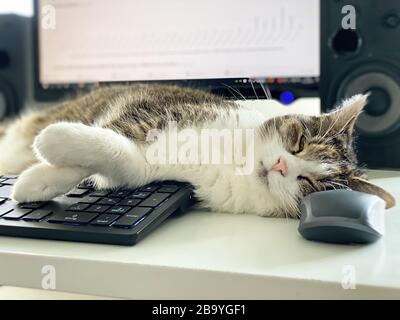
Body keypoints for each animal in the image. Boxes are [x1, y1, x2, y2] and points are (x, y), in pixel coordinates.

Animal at [0, 84, 396, 218]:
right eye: (299, 142)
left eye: (313, 185)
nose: (283, 166)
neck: (233, 162)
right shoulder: (146, 107)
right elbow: (111, 132)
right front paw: (46, 162)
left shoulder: (151, 168)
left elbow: (124, 160)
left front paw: (38, 175)